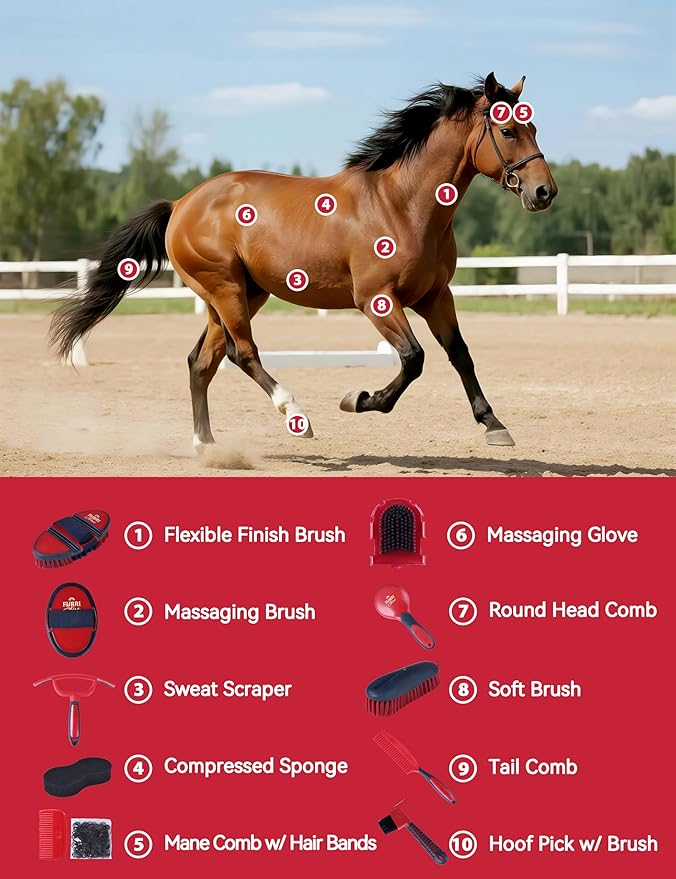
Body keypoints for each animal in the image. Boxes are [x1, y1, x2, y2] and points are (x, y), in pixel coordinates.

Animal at [51, 72, 557, 451]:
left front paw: (494, 425)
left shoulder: (436, 296)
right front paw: (359, 399)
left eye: (534, 129)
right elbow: (413, 359)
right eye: (508, 130)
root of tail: (181, 204)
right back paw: (296, 415)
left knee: (202, 362)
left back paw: (207, 446)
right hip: (225, 290)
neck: (403, 204)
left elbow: (460, 354)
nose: (544, 192)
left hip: (238, 295)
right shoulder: (376, 299)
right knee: (241, 352)